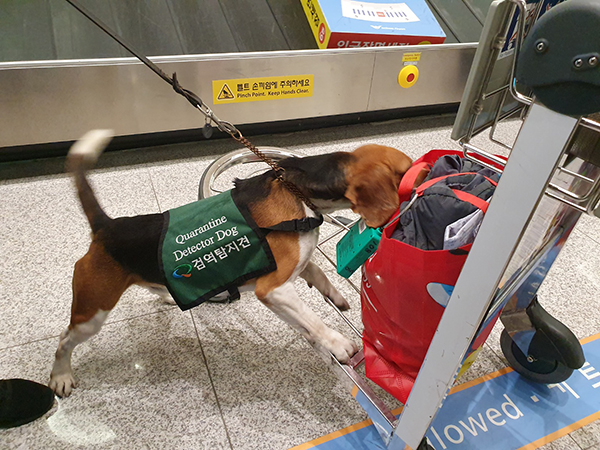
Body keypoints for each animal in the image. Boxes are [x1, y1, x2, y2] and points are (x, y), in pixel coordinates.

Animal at [50, 131, 412, 398]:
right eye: (411, 169)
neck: (298, 189)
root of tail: (106, 227)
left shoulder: (297, 264)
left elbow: (316, 272)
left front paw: (333, 295)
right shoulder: (274, 289)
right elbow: (313, 321)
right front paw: (337, 343)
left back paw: (166, 293)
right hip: (92, 313)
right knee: (65, 341)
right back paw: (60, 376)